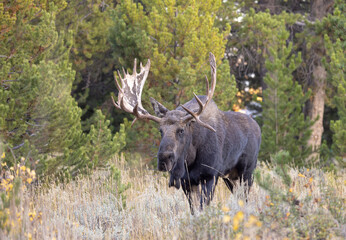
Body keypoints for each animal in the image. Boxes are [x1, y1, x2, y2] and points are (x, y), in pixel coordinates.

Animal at [112, 53, 260, 214]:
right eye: (160, 130)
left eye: (181, 130)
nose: (164, 158)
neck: (190, 158)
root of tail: (257, 127)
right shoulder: (186, 181)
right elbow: (194, 211)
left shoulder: (210, 176)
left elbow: (203, 208)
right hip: (231, 177)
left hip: (246, 173)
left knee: (246, 199)